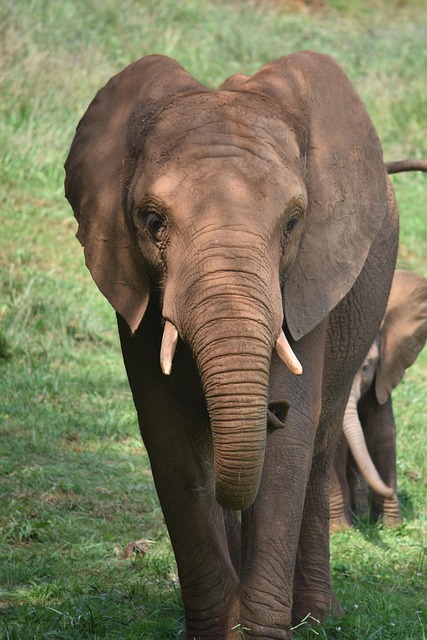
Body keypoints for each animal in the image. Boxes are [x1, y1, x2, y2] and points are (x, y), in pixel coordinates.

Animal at [64, 51, 399, 639]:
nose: (272, 409)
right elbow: (169, 436)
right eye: (152, 221)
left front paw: (262, 631)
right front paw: (217, 630)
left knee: (319, 445)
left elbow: (289, 448)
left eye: (293, 223)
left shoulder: (309, 279)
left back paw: (317, 616)